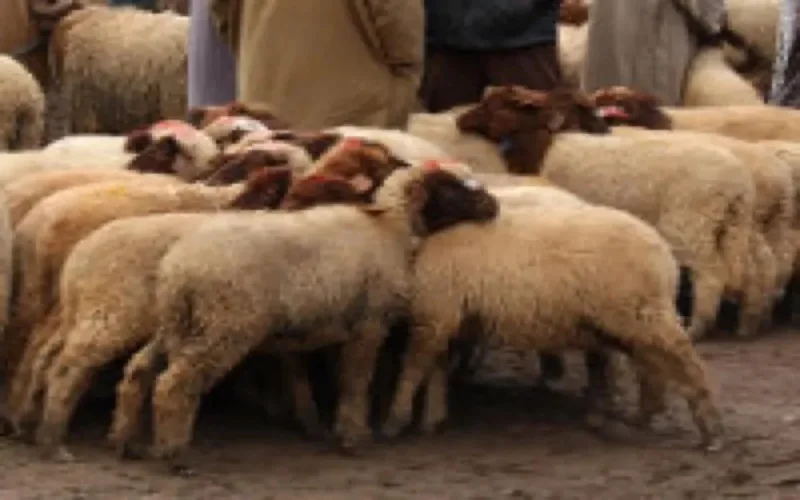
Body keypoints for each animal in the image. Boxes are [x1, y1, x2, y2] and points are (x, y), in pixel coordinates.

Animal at [104, 162, 498, 474]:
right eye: (450, 187)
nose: (492, 205)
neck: (392, 229)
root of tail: (178, 269)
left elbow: (338, 379)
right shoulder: (369, 323)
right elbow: (356, 381)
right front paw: (353, 437)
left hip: (178, 324)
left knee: (138, 370)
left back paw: (125, 442)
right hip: (224, 326)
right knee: (174, 383)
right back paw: (173, 454)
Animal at [381, 195, 724, 452]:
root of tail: (663, 254)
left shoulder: (434, 315)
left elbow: (414, 368)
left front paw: (396, 419)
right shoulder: (445, 318)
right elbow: (435, 370)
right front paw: (432, 419)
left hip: (639, 313)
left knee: (685, 363)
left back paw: (710, 429)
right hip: (631, 321)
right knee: (654, 369)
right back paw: (642, 418)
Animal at [456, 86, 756, 340]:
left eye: (493, 104)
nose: (461, 119)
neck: (544, 145)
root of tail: (737, 184)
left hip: (690, 225)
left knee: (710, 275)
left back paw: (698, 327)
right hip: (730, 226)